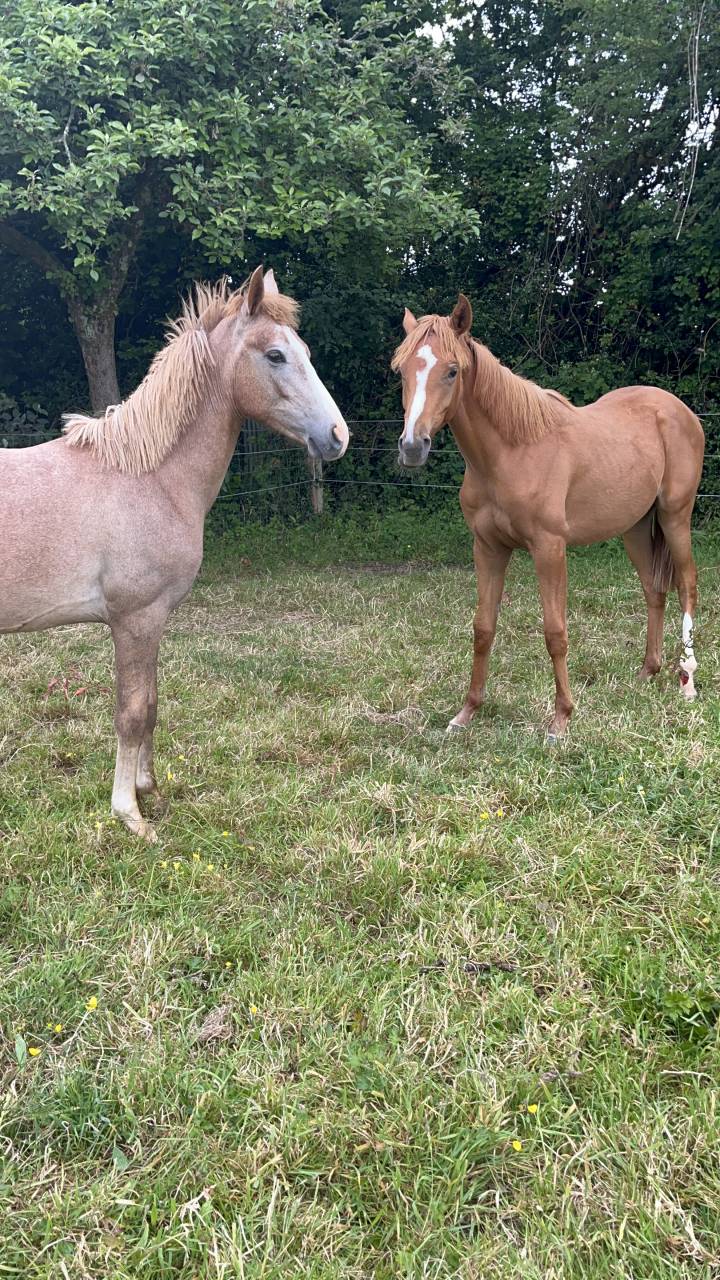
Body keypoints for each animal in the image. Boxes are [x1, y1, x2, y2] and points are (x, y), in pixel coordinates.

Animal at [0, 266, 348, 839]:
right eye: (276, 354)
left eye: (305, 351)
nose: (338, 435)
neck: (150, 477)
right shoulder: (134, 620)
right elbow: (131, 712)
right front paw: (130, 815)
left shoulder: (155, 619)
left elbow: (152, 705)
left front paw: (150, 790)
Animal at [391, 293, 704, 739]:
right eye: (401, 371)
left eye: (452, 371)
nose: (412, 446)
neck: (512, 453)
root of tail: (681, 411)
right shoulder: (487, 548)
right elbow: (483, 628)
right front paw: (467, 713)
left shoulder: (549, 549)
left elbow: (555, 632)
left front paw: (561, 719)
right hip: (636, 528)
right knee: (654, 590)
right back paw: (647, 672)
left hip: (675, 517)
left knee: (687, 586)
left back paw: (687, 680)